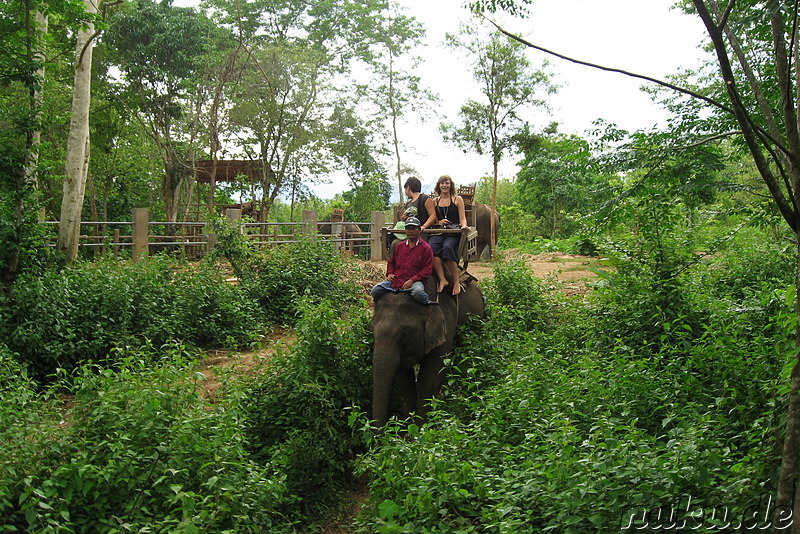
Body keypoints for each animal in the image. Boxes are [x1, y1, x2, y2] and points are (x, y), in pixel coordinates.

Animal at [372, 278, 484, 430]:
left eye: (405, 333)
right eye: (372, 330)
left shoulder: (446, 324)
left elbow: (431, 376)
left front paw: (421, 428)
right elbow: (404, 379)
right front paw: (409, 424)